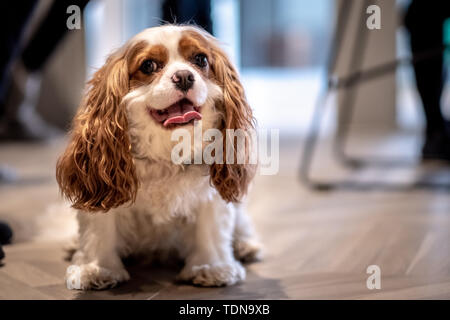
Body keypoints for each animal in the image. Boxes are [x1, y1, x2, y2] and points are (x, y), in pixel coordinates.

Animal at [55, 25, 262, 290]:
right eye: (148, 65)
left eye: (200, 60)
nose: (184, 76)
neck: (166, 153)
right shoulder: (104, 188)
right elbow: (99, 229)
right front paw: (97, 268)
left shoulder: (208, 194)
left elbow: (211, 228)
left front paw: (211, 266)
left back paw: (245, 244)